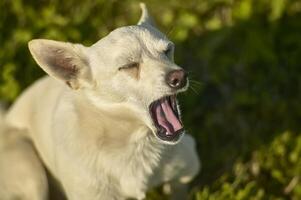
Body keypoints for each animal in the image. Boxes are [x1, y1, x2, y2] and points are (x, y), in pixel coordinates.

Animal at [0, 3, 199, 200]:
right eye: (129, 66)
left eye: (167, 51)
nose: (180, 76)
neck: (133, 142)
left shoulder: (184, 173)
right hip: (32, 176)